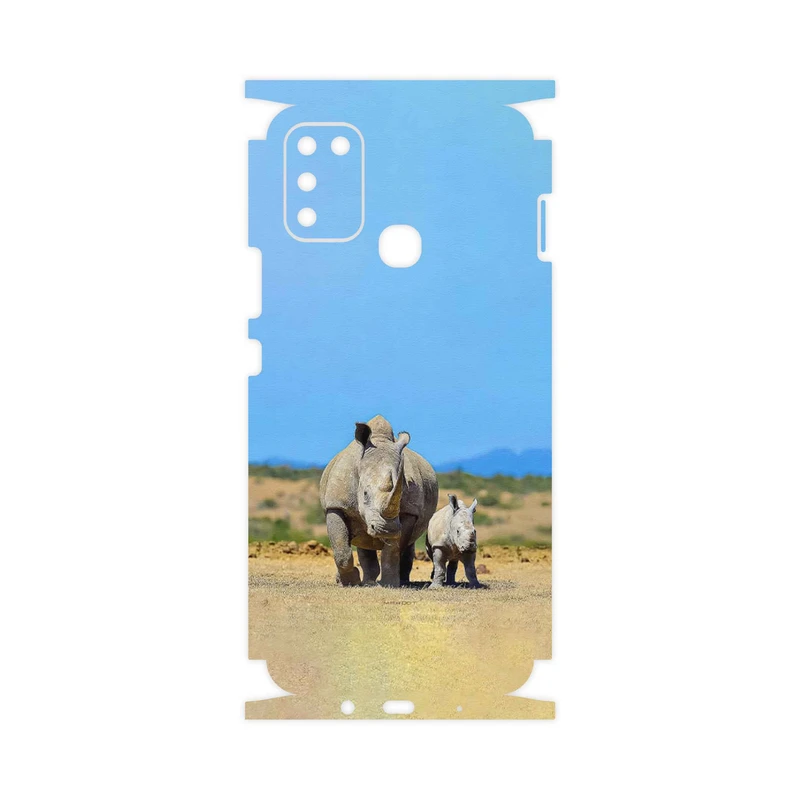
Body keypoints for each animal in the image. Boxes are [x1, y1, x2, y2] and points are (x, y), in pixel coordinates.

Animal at [319, 415, 439, 587]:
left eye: (400, 495)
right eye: (365, 494)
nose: (386, 529)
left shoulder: (409, 512)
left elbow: (393, 550)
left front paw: (390, 584)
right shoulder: (336, 505)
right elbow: (341, 549)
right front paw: (350, 582)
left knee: (407, 543)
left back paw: (400, 581)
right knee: (362, 540)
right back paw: (365, 582)